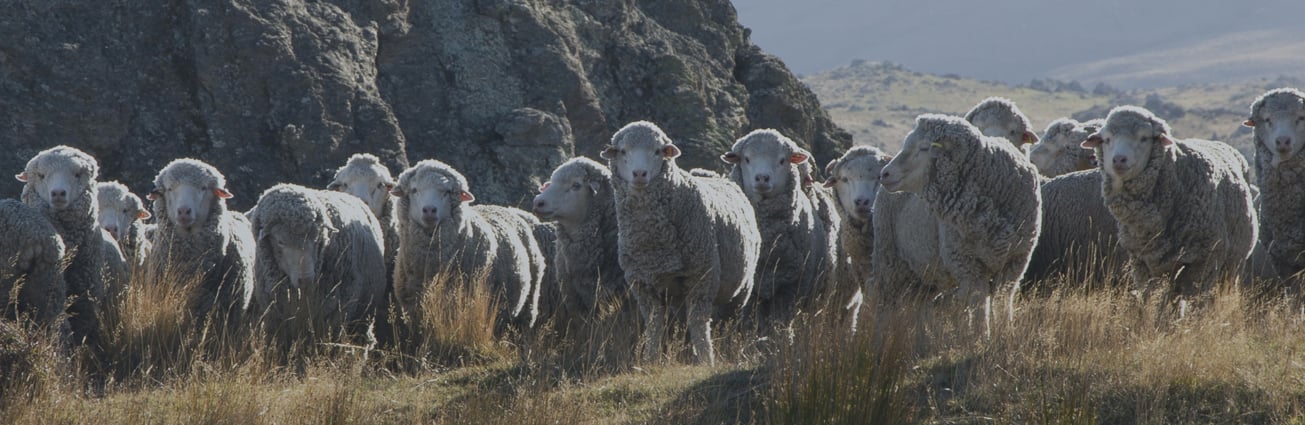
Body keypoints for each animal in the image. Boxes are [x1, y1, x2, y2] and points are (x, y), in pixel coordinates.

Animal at [390, 159, 547, 330]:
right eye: (414, 190)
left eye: (446, 192)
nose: (429, 210)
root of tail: (507, 208)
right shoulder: (413, 311)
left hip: (528, 303)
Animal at [601, 121, 761, 365]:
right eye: (623, 151)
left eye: (657, 151)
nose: (639, 174)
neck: (655, 243)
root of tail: (715, 176)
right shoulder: (643, 285)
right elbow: (654, 325)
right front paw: (650, 360)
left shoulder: (701, 277)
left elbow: (698, 323)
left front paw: (706, 360)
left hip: (740, 289)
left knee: (728, 323)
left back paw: (728, 349)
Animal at [720, 129, 840, 322]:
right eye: (746, 159)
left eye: (782, 160)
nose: (762, 178)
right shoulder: (752, 288)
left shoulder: (790, 289)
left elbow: (779, 324)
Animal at [879, 114, 1042, 335]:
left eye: (923, 147)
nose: (885, 173)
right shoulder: (967, 263)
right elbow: (979, 304)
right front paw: (982, 336)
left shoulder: (1016, 260)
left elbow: (1003, 299)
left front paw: (1006, 332)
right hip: (889, 260)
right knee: (881, 305)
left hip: (926, 271)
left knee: (921, 304)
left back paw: (922, 337)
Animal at [1082, 106, 1257, 314]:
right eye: (1107, 139)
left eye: (1144, 138)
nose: (1119, 160)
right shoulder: (1143, 264)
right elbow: (1155, 301)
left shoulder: (1203, 261)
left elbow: (1195, 301)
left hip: (1232, 265)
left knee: (1218, 295)